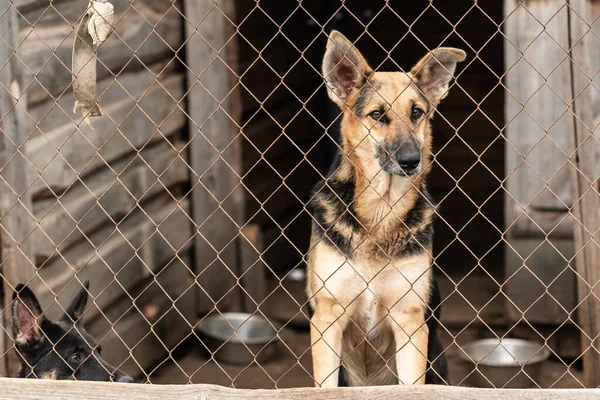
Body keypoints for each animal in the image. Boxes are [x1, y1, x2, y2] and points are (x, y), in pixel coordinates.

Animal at [308, 31, 466, 388]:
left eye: (417, 113)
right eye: (378, 115)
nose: (411, 161)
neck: (381, 211)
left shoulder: (409, 323)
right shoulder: (328, 319)